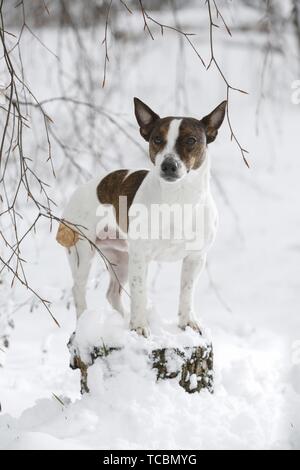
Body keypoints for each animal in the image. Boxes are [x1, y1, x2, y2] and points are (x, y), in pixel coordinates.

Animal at [56, 97, 226, 336]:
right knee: (78, 289)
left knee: (112, 293)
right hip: (83, 253)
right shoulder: (141, 257)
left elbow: (186, 292)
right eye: (157, 139)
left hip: (121, 259)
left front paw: (187, 322)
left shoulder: (195, 257)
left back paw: (120, 319)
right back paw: (85, 323)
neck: (177, 198)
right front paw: (138, 327)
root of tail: (81, 189)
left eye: (191, 140)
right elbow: (140, 294)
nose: (168, 165)